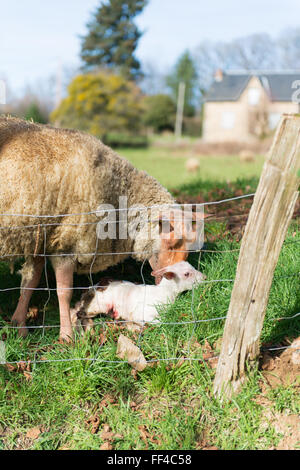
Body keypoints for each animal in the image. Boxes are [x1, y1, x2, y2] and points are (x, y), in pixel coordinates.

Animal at [71, 260, 205, 330]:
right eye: (186, 274)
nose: (204, 278)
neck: (164, 293)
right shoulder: (141, 313)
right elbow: (161, 321)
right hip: (98, 306)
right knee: (78, 312)